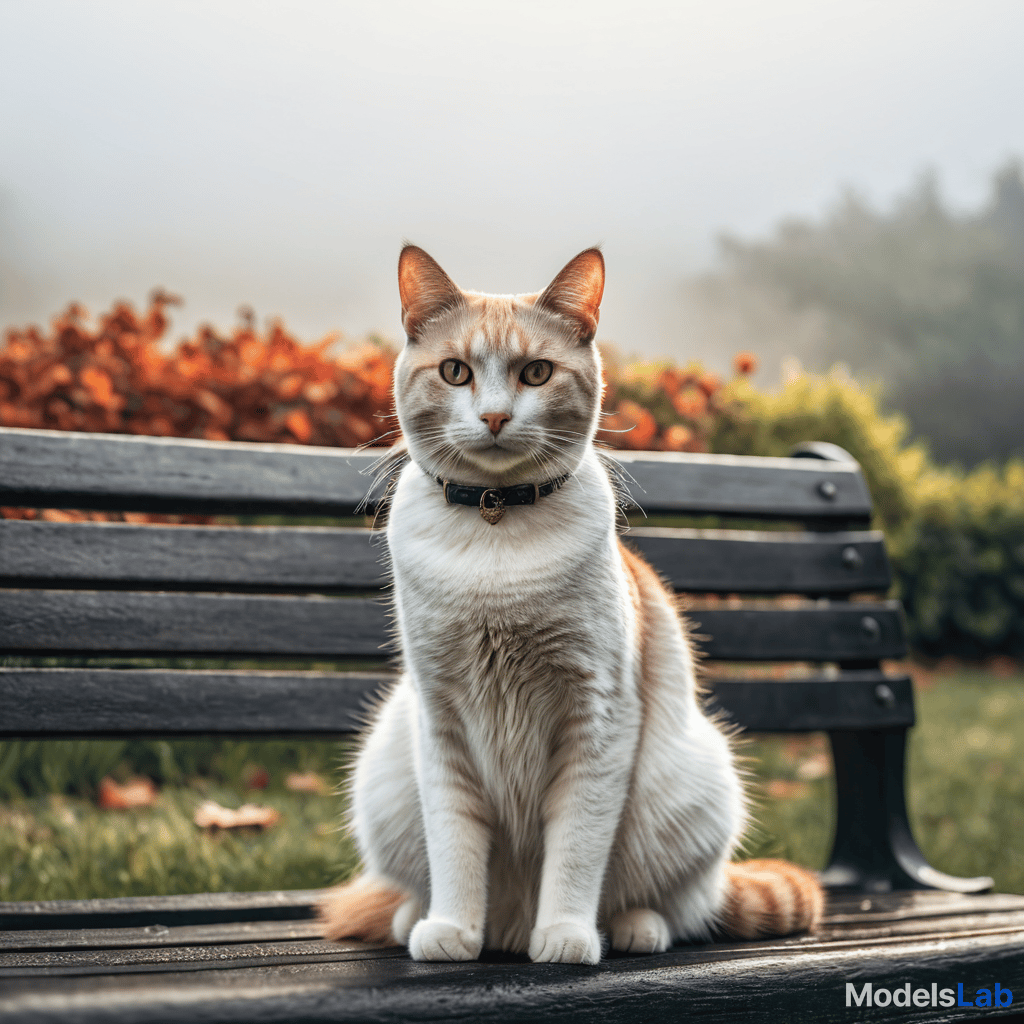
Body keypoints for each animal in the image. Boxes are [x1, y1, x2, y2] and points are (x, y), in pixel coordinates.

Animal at [315, 243, 819, 962]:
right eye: (455, 371)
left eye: (536, 373)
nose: (495, 417)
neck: (496, 522)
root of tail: (508, 926)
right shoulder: (440, 719)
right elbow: (454, 843)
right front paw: (453, 930)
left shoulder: (598, 716)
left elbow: (577, 847)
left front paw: (565, 935)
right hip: (384, 768)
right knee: (411, 889)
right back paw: (423, 921)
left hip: (696, 783)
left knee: (683, 904)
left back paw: (632, 928)